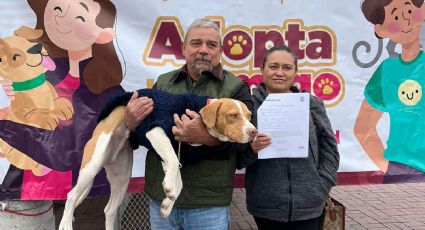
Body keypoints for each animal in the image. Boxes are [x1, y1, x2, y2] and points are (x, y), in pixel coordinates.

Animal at [58, 89, 256, 230]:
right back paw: (65, 224)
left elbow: (179, 182)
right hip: (93, 164)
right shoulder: (156, 131)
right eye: (233, 115)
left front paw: (168, 203)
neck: (198, 111)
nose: (254, 132)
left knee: (109, 210)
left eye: (249, 116)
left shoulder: (172, 152)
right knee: (71, 196)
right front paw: (168, 190)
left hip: (121, 179)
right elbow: (174, 166)